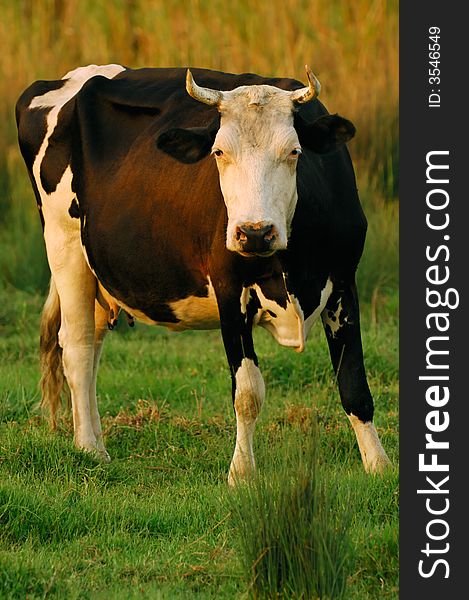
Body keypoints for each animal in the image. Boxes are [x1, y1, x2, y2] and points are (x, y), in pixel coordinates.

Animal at [15, 63, 388, 486]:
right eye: (219, 152)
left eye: (294, 152)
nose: (254, 232)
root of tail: (75, 76)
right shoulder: (229, 291)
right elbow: (248, 392)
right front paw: (242, 473)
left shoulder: (344, 281)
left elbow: (354, 384)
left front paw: (378, 465)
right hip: (64, 245)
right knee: (75, 346)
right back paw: (90, 450)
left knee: (92, 344)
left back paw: (91, 438)